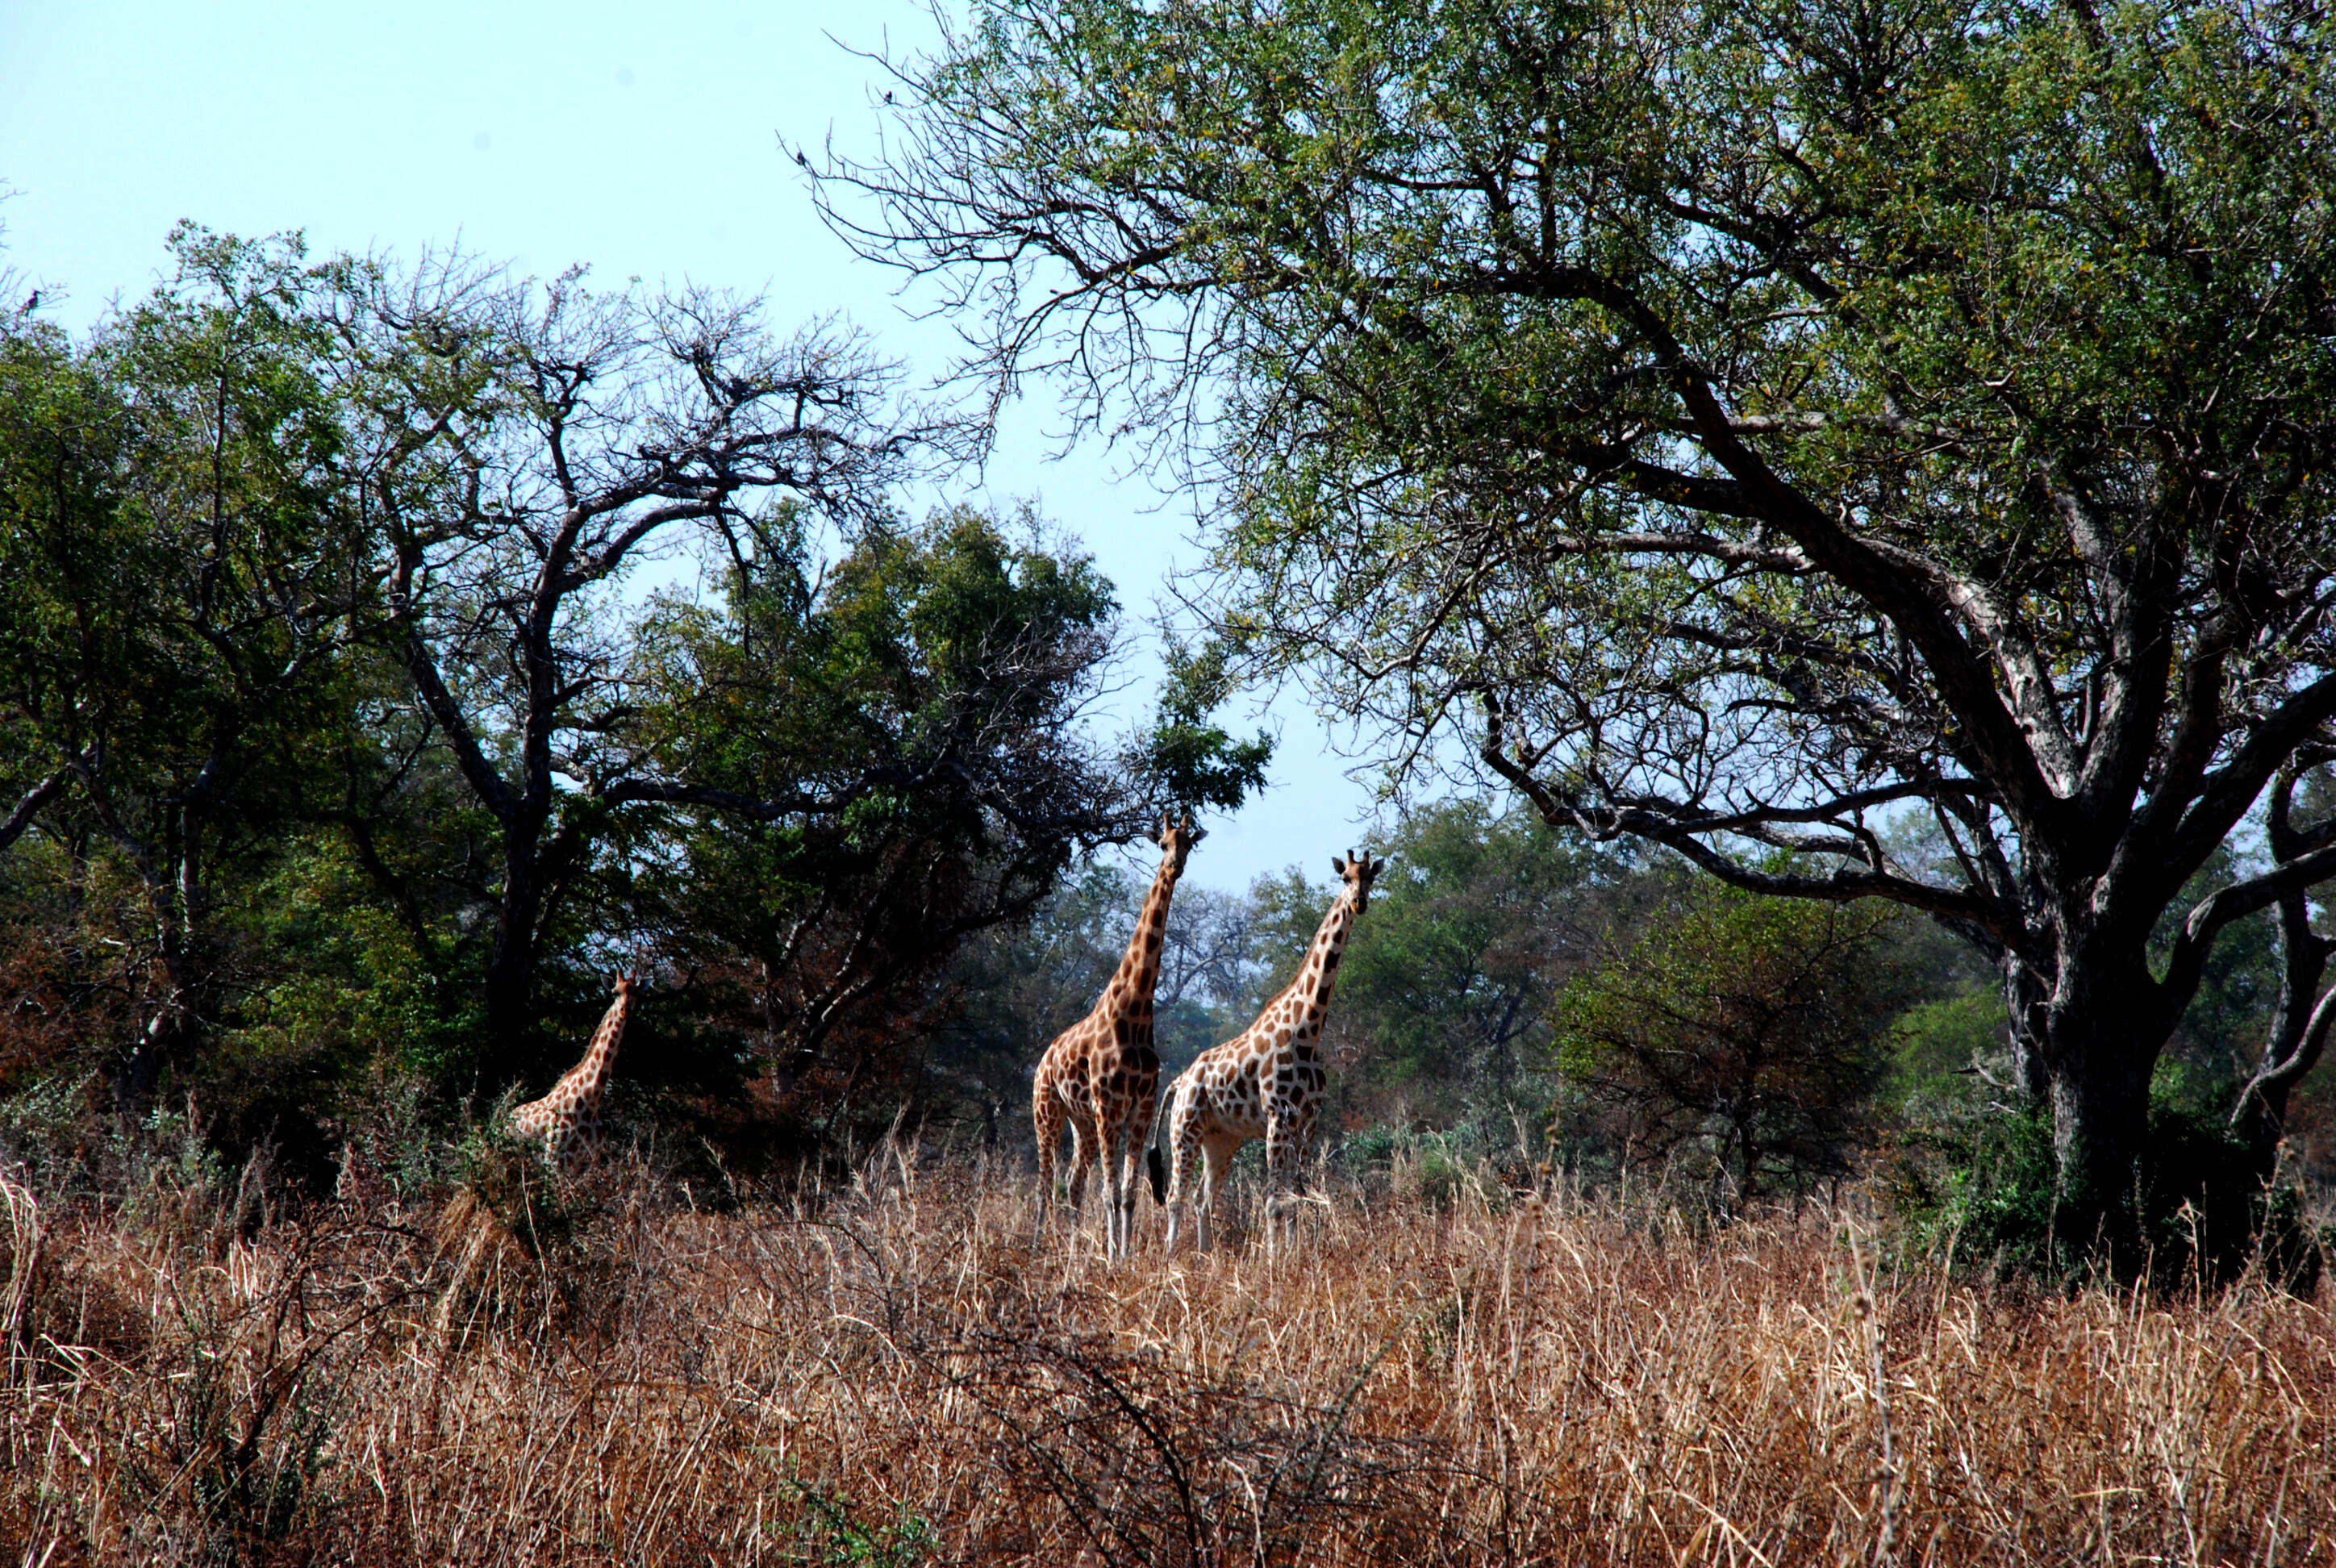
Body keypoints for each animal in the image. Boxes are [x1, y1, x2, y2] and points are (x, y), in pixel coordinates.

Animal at [511, 981, 635, 1163]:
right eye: (614, 992)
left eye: (637, 994)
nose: (625, 1010)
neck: (589, 1103)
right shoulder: (554, 1157)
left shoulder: (588, 1160)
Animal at [1037, 818, 1205, 1261]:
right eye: (1162, 843)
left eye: (1188, 843)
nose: (1175, 866)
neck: (1136, 1013)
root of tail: (1042, 1061)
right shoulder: (1109, 1105)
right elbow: (1110, 1192)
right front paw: (1113, 1256)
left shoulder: (1140, 1108)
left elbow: (1128, 1193)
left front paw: (1123, 1254)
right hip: (1048, 1111)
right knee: (1045, 1183)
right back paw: (1038, 1244)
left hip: (1081, 1121)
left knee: (1074, 1180)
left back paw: (1073, 1247)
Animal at [1153, 850, 1383, 1261]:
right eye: (1345, 878)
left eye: (1370, 877)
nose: (1360, 902)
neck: (1308, 1030)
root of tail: (1179, 1080)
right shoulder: (1278, 1116)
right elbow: (1276, 1200)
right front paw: (1275, 1262)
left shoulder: (1306, 1123)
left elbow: (1297, 1197)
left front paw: (1294, 1256)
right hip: (1184, 1128)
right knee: (1176, 1196)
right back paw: (1170, 1260)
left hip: (1221, 1139)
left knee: (1202, 1199)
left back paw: (1204, 1259)